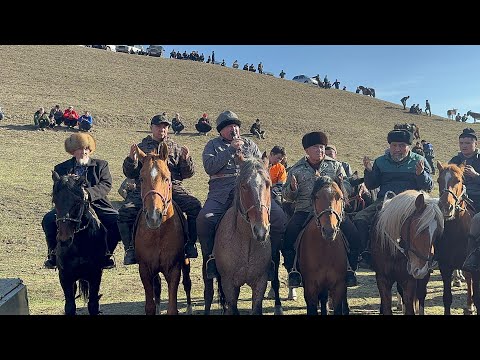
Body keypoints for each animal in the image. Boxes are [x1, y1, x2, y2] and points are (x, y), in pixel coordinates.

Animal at [51, 172, 108, 316]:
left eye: (77, 202)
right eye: (54, 201)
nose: (64, 239)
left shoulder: (95, 275)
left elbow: (93, 305)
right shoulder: (65, 277)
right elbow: (70, 306)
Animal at [134, 143, 192, 316]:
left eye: (167, 178)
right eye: (141, 178)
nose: (154, 216)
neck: (158, 234)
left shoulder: (174, 269)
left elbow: (172, 307)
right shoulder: (145, 270)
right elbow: (150, 306)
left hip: (186, 261)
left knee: (187, 283)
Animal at [214, 153, 274, 314]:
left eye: (268, 184)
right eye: (244, 186)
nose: (261, 230)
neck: (247, 242)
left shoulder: (260, 283)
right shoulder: (229, 285)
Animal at [296, 176, 348, 316]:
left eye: (340, 197)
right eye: (317, 197)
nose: (329, 231)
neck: (325, 249)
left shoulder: (339, 286)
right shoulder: (310, 287)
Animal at [436, 162, 480, 314]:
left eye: (459, 180)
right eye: (439, 180)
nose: (446, 207)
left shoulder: (471, 268)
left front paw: (471, 305)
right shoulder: (445, 266)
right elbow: (447, 298)